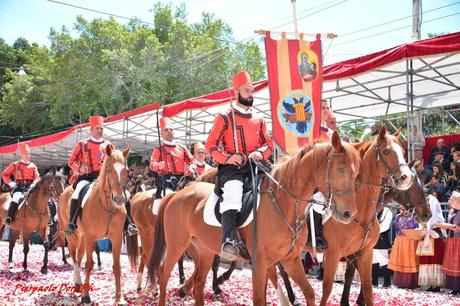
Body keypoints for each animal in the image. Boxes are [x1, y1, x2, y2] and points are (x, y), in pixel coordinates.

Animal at [57, 145, 137, 304]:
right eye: (109, 169)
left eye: (125, 170)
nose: (119, 199)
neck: (107, 207)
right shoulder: (90, 237)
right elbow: (89, 264)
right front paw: (86, 296)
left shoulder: (116, 238)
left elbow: (117, 267)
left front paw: (120, 298)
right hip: (71, 235)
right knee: (74, 256)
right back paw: (78, 283)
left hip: (82, 236)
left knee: (79, 255)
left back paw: (78, 283)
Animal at [147, 132, 362, 306]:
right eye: (340, 169)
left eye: (356, 173)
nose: (348, 214)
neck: (284, 203)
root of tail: (177, 194)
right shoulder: (260, 262)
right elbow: (260, 299)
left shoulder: (290, 260)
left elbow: (309, 293)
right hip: (177, 245)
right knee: (164, 275)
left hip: (204, 250)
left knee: (199, 284)